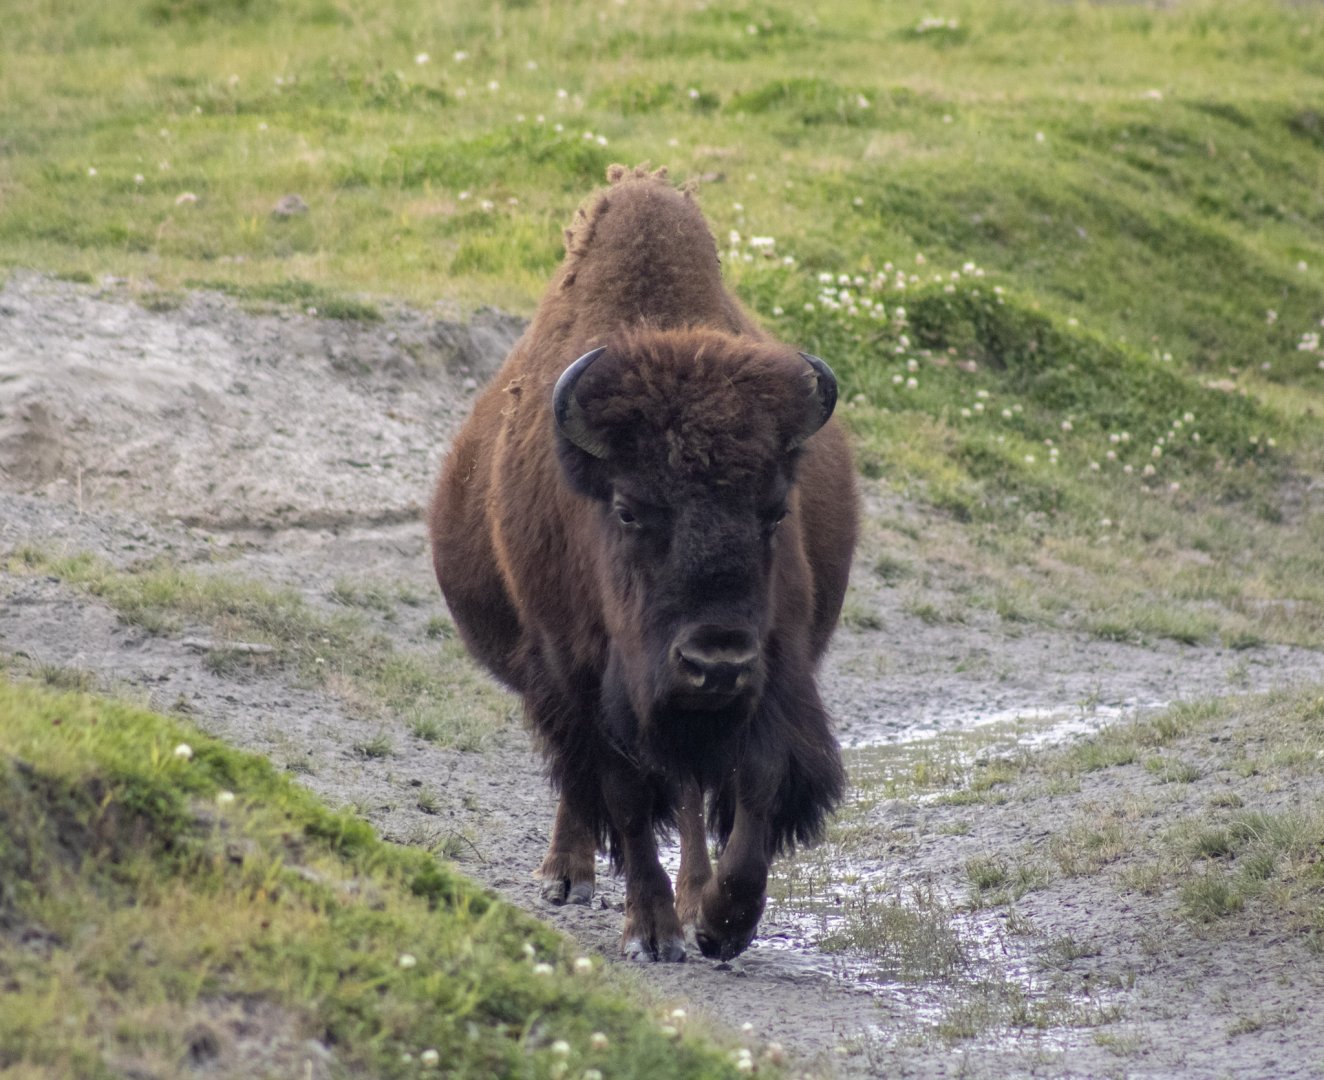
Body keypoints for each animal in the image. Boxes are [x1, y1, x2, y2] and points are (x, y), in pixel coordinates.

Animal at [429, 164, 858, 962]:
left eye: (775, 509)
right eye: (629, 508)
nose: (715, 662)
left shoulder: (772, 669)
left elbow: (754, 782)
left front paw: (722, 921)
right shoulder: (582, 673)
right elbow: (624, 798)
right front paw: (652, 931)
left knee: (682, 796)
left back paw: (689, 895)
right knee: (582, 781)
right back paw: (567, 875)